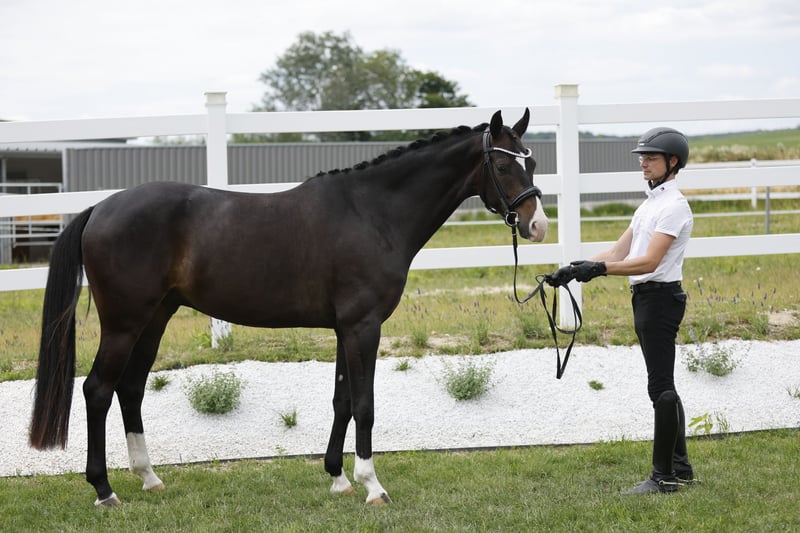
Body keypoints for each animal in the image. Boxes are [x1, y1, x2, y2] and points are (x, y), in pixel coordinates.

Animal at [29, 109, 548, 507]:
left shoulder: (345, 328)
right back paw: (104, 491)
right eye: (504, 168)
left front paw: (338, 479)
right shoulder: (363, 327)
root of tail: (98, 209)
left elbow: (342, 401)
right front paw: (372, 487)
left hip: (155, 317)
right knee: (98, 390)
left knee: (130, 388)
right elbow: (365, 405)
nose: (537, 224)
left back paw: (149, 478)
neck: (372, 212)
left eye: (534, 162)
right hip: (125, 322)